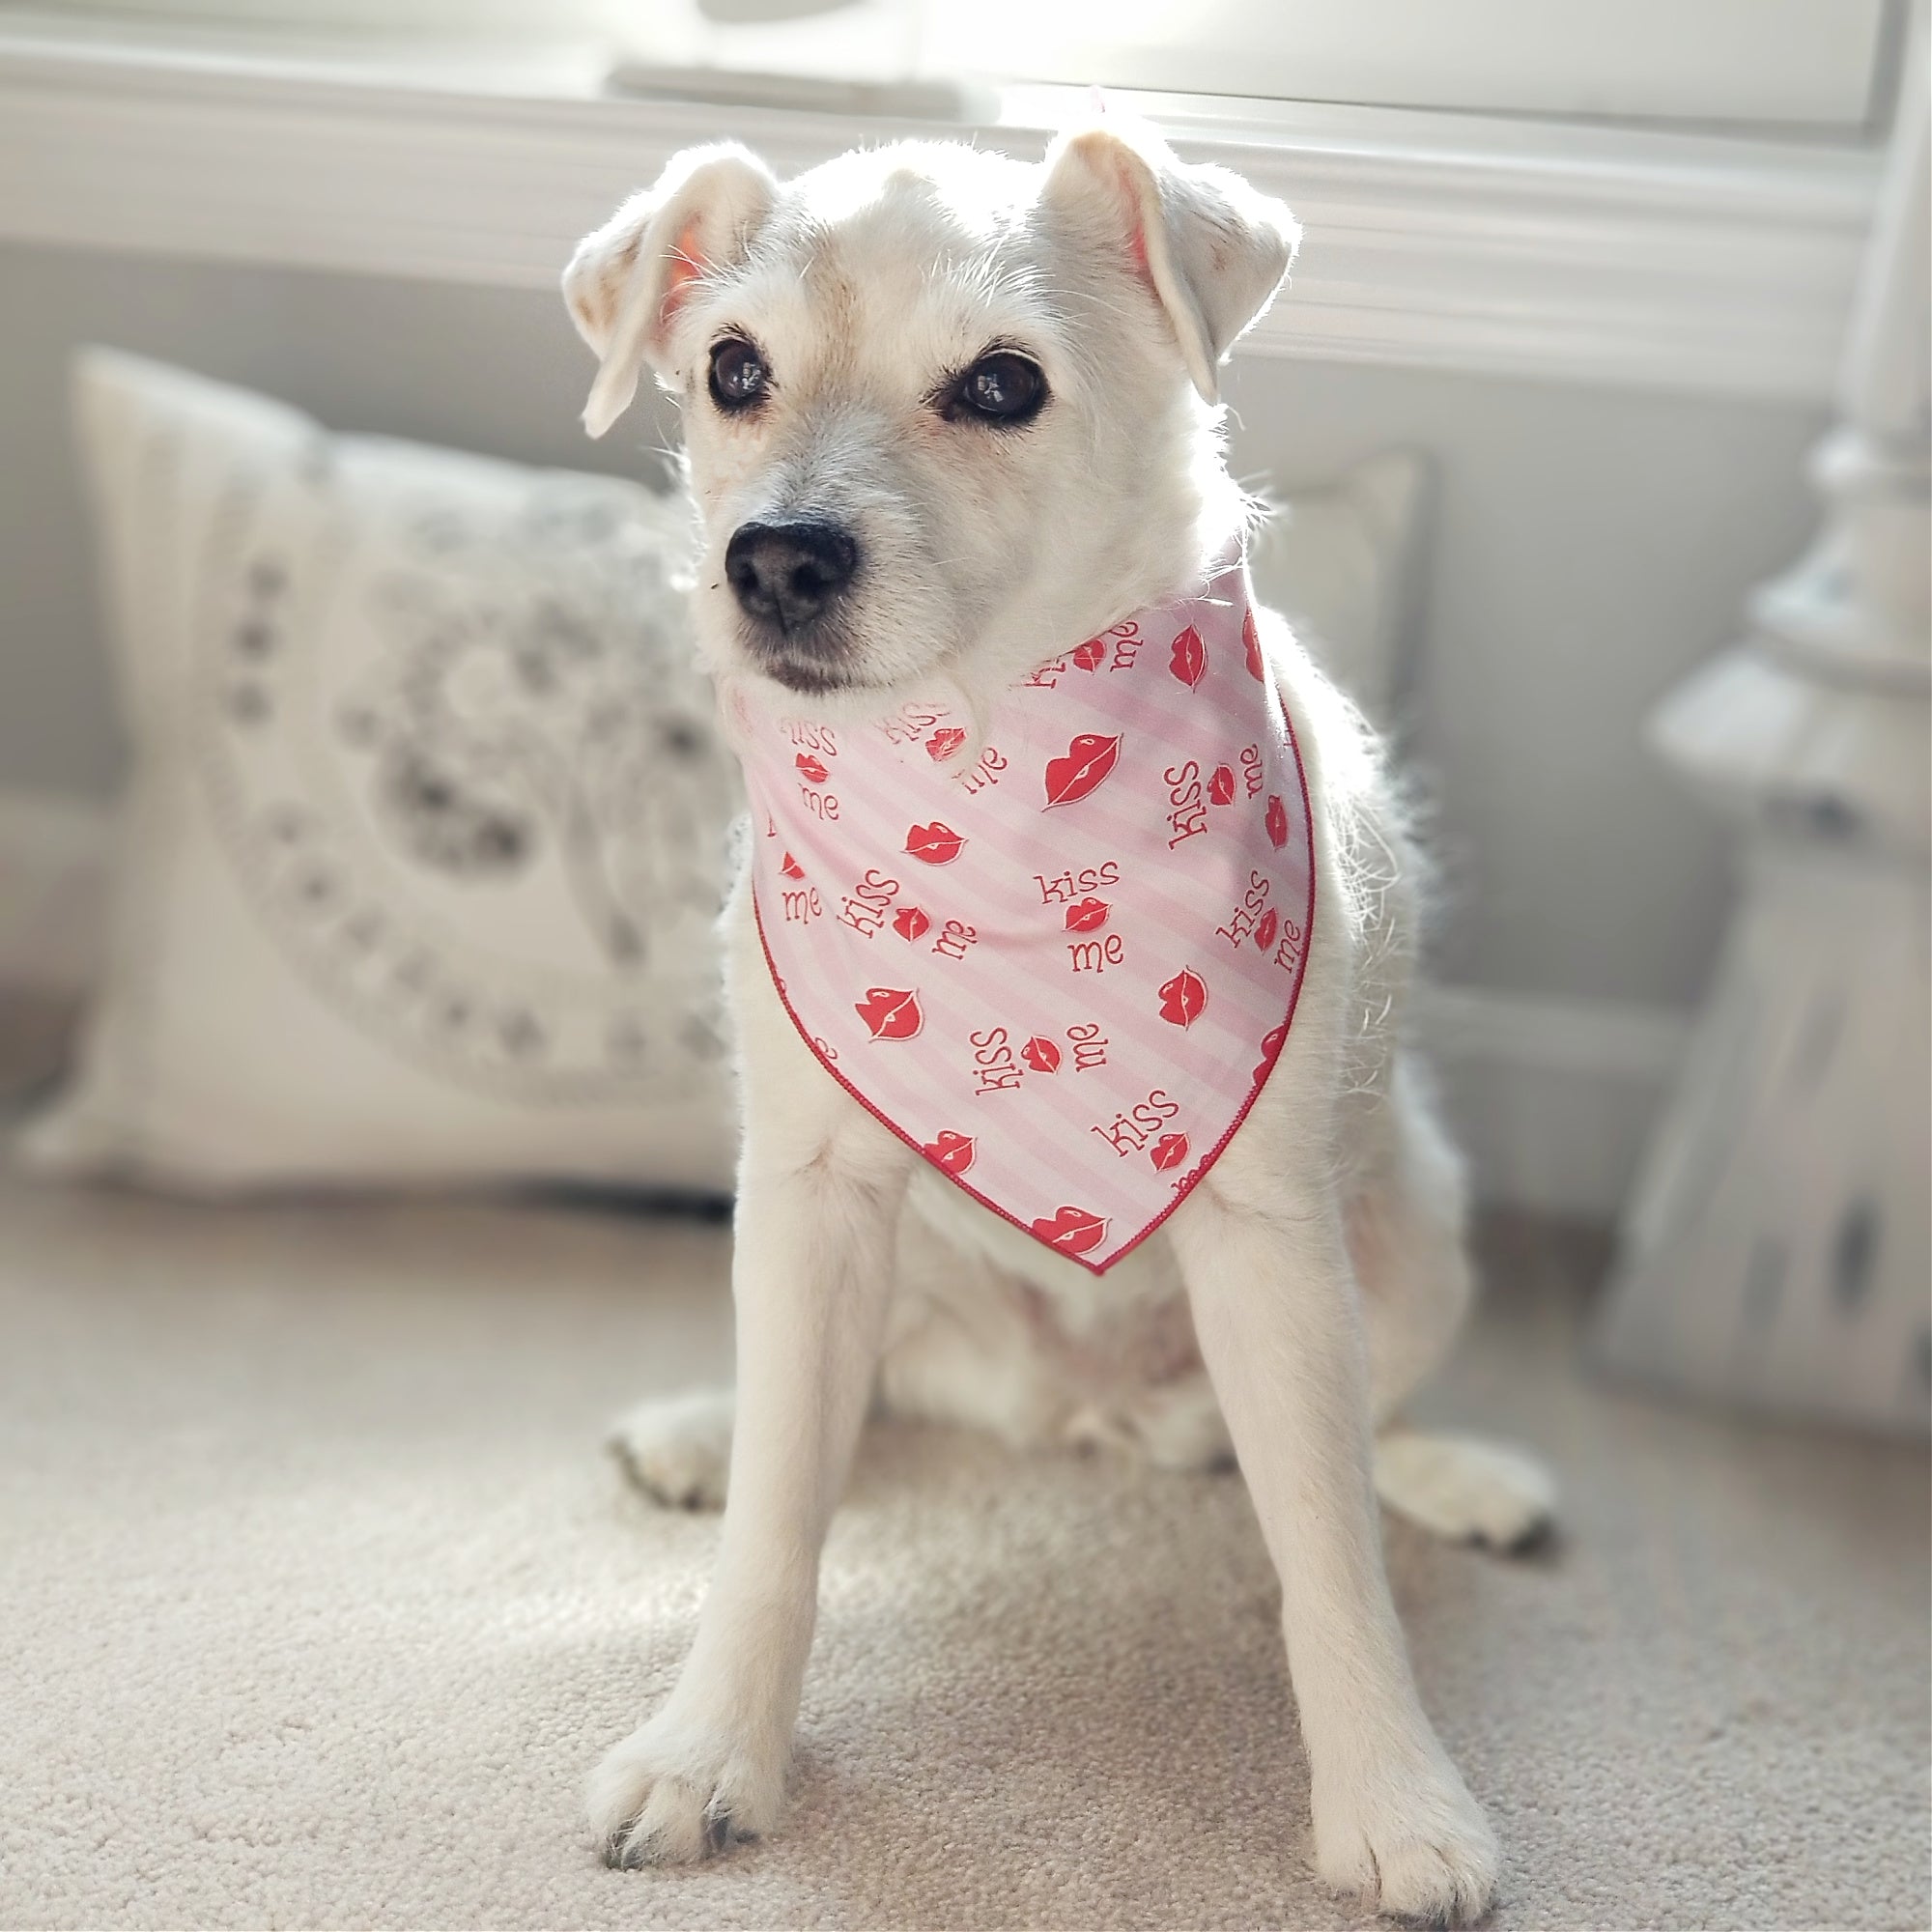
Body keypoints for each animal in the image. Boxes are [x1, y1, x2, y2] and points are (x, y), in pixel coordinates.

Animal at [564, 117, 1553, 1917]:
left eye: (1003, 385)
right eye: (733, 368)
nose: (776, 559)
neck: (989, 777)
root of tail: (1069, 1405)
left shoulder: (1268, 1240)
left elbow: (1330, 1555)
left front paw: (1396, 1799)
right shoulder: (813, 1196)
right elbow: (779, 1526)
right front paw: (710, 1747)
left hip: (1418, 1229)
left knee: (1369, 1422)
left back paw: (1454, 1471)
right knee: (842, 1407)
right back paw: (705, 1428)